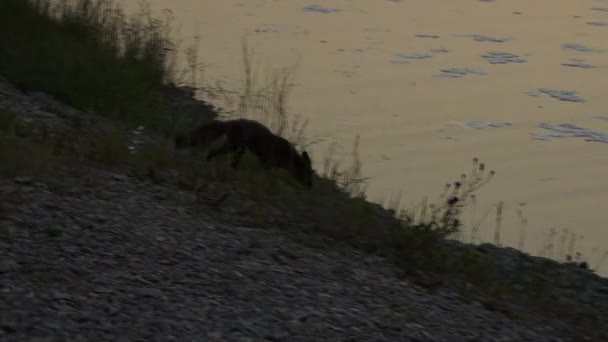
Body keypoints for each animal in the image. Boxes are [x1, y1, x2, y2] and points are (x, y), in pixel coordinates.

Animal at [172, 117, 312, 187]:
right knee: (226, 156)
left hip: (232, 145)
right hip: (236, 146)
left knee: (215, 152)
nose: (311, 186)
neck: (290, 157)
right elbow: (263, 171)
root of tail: (227, 123)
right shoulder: (267, 161)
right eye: (308, 174)